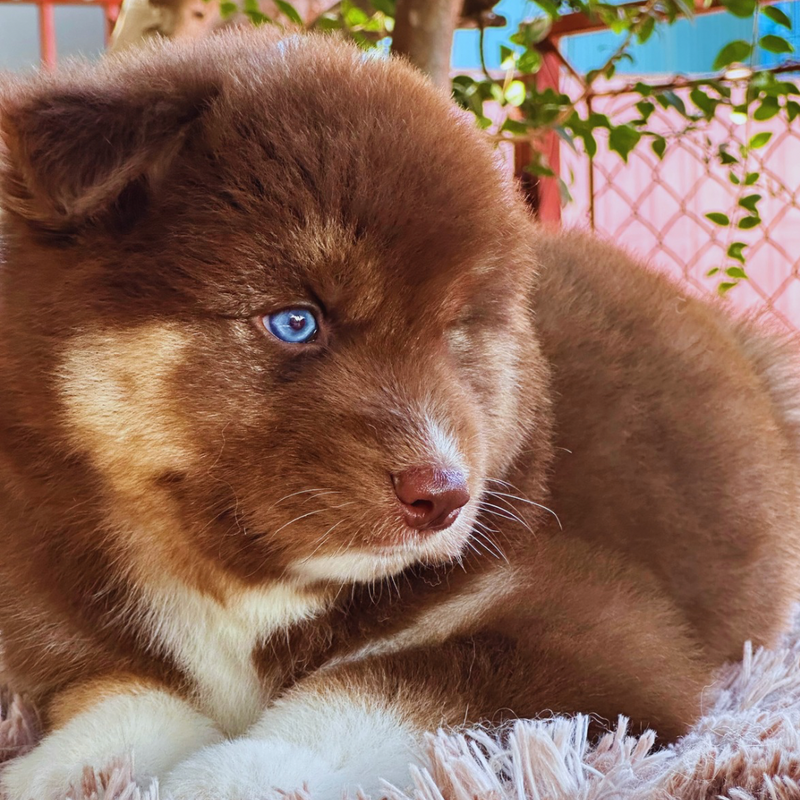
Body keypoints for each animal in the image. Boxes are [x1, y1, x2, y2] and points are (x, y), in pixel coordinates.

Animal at [1, 28, 800, 796]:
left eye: (454, 334)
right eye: (296, 321)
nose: (446, 498)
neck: (238, 580)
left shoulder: (592, 621)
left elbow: (378, 692)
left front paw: (227, 777)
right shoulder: (69, 634)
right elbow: (126, 702)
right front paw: (58, 770)